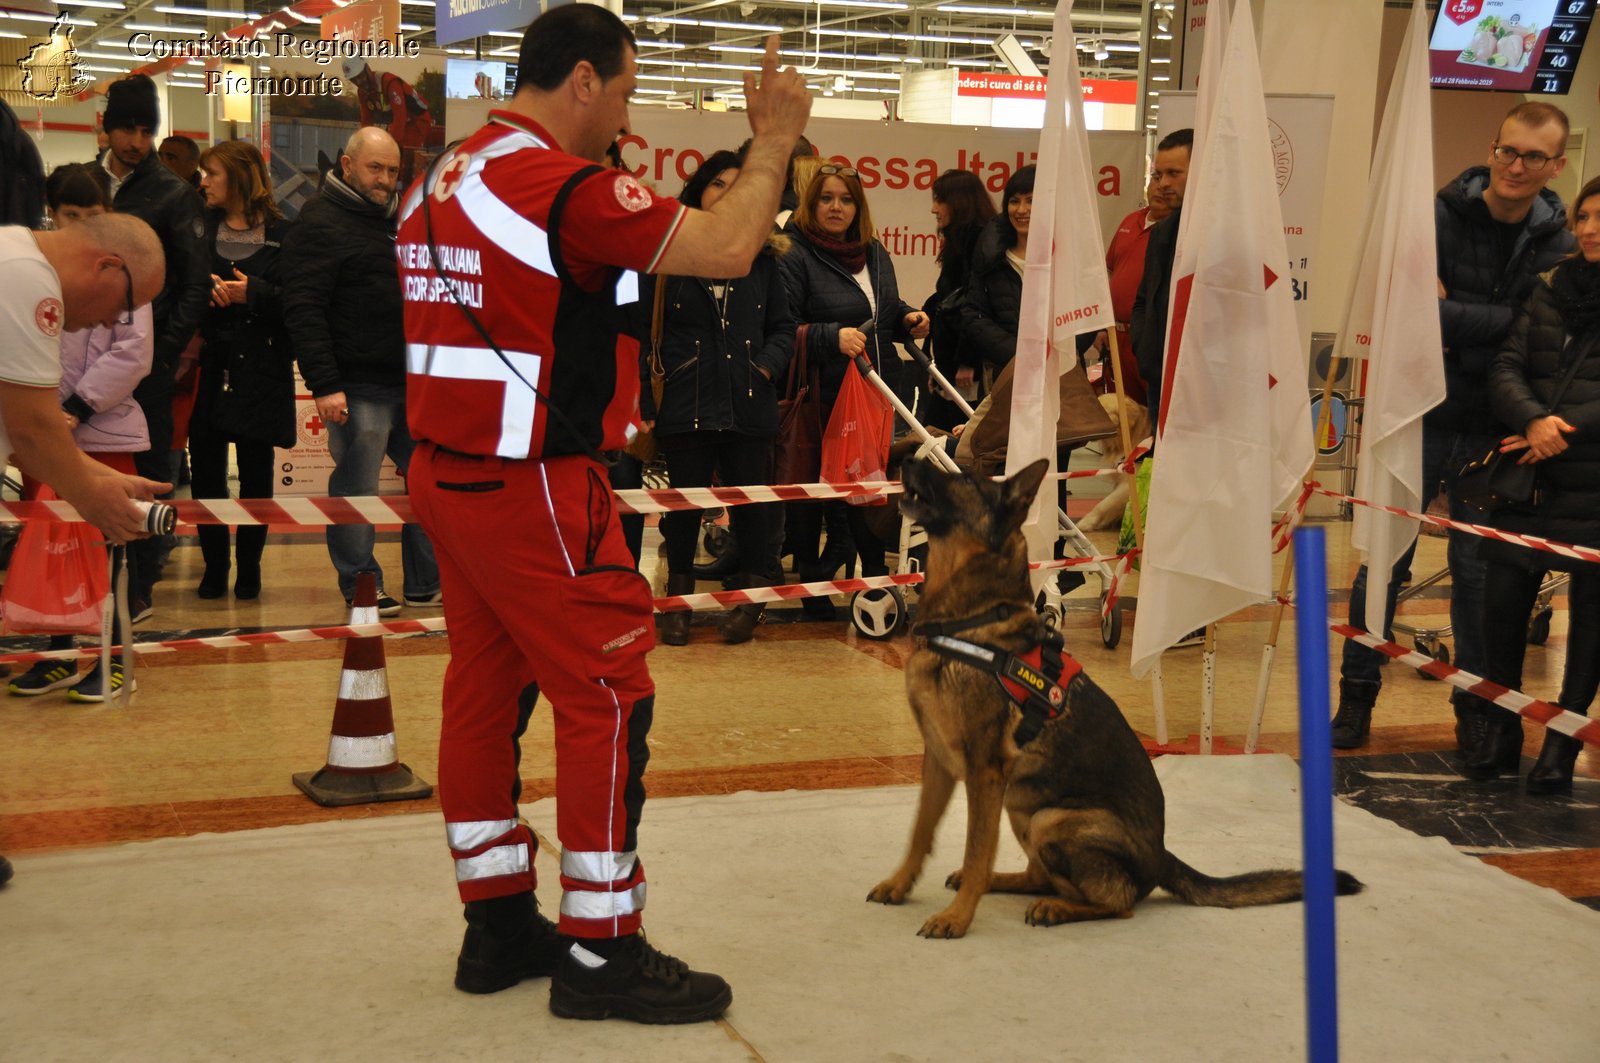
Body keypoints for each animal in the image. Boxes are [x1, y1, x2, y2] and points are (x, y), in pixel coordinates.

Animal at [876, 457, 1363, 941]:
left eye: (966, 479)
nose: (905, 457)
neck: (971, 619)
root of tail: (1161, 855)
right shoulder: (938, 760)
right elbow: (921, 831)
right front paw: (901, 884)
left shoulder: (985, 772)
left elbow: (977, 850)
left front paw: (957, 917)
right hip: (1023, 808)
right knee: (1041, 875)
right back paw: (1014, 886)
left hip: (1051, 817)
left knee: (1119, 902)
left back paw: (1057, 907)